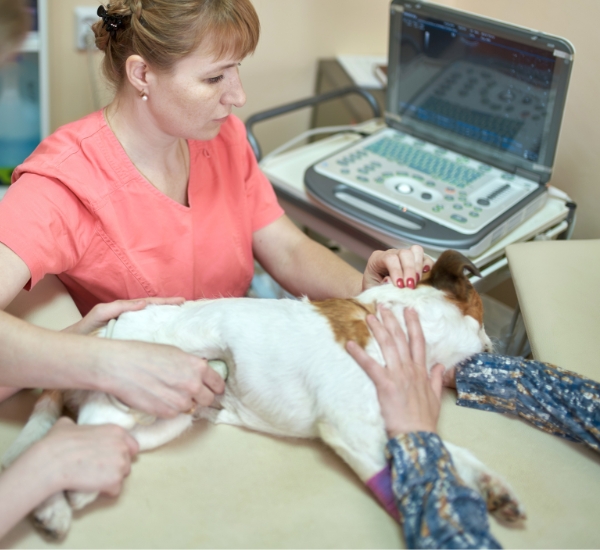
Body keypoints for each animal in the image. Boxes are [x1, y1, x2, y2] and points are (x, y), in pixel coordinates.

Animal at [1, 250, 524, 540]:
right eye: (484, 320)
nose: (499, 350)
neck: (395, 322)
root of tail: (104, 331)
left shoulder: (393, 422)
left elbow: (452, 454)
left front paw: (494, 489)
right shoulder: (355, 428)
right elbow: (404, 473)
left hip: (168, 416)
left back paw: (60, 502)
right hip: (134, 394)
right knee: (75, 434)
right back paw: (55, 502)